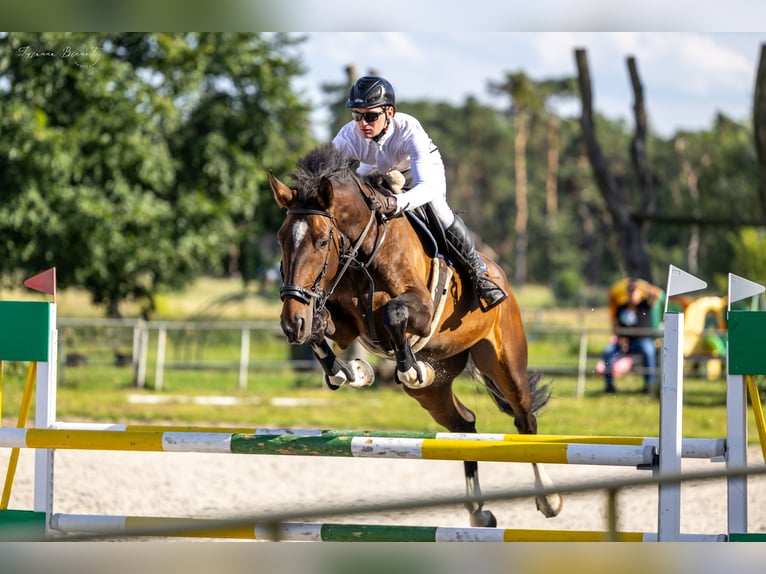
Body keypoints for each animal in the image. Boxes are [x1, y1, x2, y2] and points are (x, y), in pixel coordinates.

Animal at [270, 144, 564, 528]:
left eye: (321, 242)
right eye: (281, 239)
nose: (292, 323)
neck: (365, 251)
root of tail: (502, 275)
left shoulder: (421, 312)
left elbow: (393, 313)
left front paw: (410, 368)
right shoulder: (347, 324)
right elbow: (321, 329)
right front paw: (351, 373)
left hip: (504, 361)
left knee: (523, 418)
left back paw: (549, 499)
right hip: (436, 390)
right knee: (464, 424)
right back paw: (478, 511)